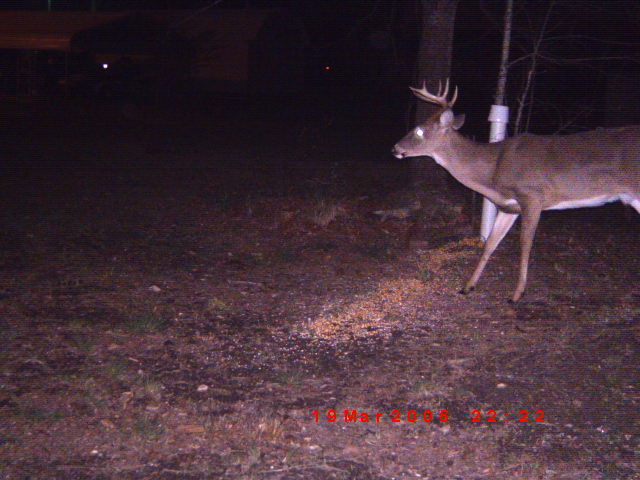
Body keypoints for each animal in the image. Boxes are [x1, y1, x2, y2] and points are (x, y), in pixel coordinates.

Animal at [392, 79, 640, 302]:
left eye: (419, 131)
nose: (395, 148)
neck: (492, 171)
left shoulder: (532, 197)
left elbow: (524, 244)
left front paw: (517, 294)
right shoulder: (509, 206)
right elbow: (490, 244)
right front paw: (468, 286)